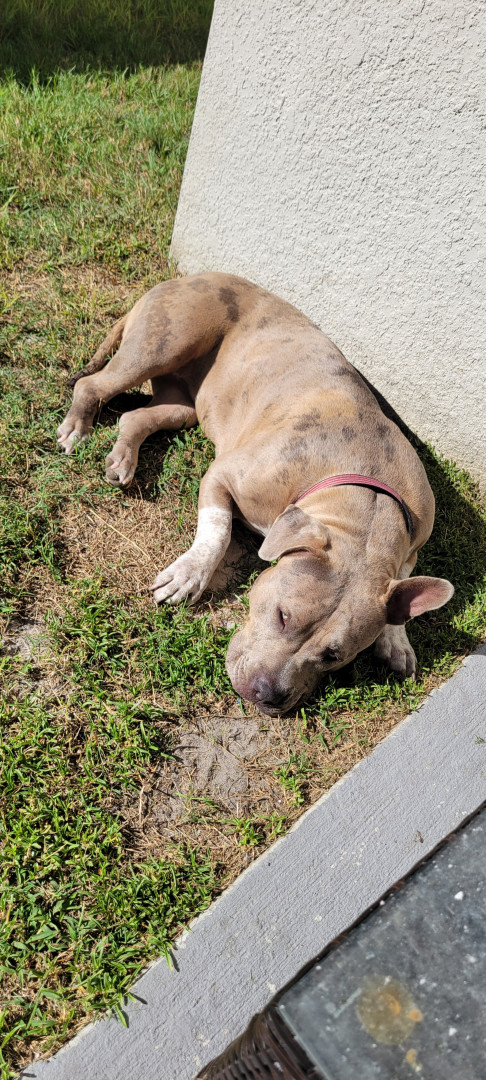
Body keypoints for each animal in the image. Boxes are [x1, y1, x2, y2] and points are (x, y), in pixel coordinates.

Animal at [58, 272, 454, 716]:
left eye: (334, 655)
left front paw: (396, 639)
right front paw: (188, 575)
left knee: (136, 416)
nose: (267, 694)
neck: (363, 496)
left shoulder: (411, 544)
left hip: (183, 406)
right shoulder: (223, 475)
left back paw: (123, 459)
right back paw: (77, 427)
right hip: (163, 343)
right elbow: (217, 531)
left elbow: (402, 585)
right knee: (93, 383)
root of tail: (186, 277)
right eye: (283, 616)